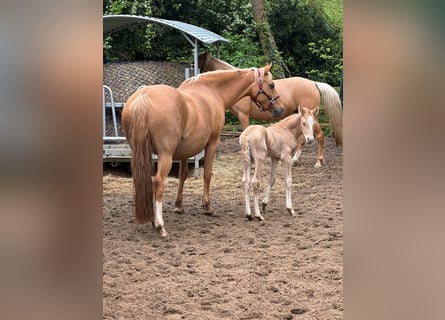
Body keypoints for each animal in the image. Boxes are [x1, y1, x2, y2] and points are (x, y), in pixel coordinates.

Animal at [121, 65, 282, 236]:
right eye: (271, 84)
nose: (280, 109)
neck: (212, 91)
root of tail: (144, 96)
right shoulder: (212, 143)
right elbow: (207, 174)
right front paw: (208, 207)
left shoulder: (185, 152)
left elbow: (183, 175)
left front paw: (179, 206)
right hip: (165, 156)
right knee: (158, 183)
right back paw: (159, 225)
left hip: (142, 153)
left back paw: (152, 220)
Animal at [199, 52, 344, 168]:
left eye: (201, 66)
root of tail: (313, 83)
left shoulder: (243, 115)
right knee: (303, 139)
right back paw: (295, 160)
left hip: (311, 117)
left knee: (319, 136)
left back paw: (318, 161)